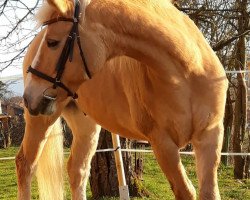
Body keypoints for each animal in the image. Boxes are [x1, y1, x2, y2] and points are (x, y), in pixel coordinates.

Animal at [16, 0, 229, 200]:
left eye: (52, 42)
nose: (29, 96)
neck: (188, 71)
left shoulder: (210, 136)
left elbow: (209, 193)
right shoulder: (162, 143)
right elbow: (185, 191)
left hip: (86, 126)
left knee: (77, 171)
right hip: (41, 120)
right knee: (25, 165)